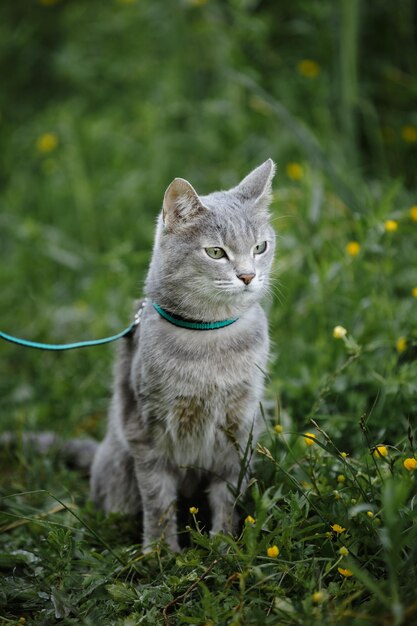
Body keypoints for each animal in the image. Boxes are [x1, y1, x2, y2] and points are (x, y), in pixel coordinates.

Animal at [90, 160, 276, 552]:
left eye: (260, 247)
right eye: (216, 253)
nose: (248, 275)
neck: (211, 339)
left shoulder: (239, 428)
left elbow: (228, 495)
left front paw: (224, 546)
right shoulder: (146, 430)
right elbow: (158, 499)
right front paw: (161, 553)